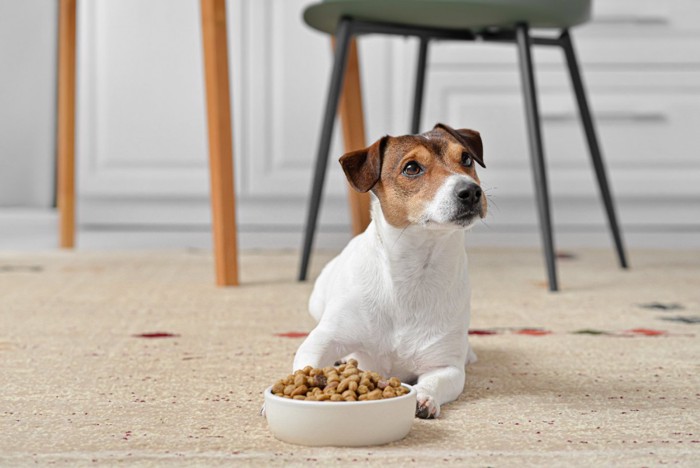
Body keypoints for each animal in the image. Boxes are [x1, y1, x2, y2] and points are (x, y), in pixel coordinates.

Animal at [292, 123, 484, 416]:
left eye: (466, 159)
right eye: (412, 168)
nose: (471, 191)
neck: (412, 272)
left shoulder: (445, 366)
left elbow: (435, 382)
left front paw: (423, 398)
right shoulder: (322, 339)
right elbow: (306, 364)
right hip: (317, 300)